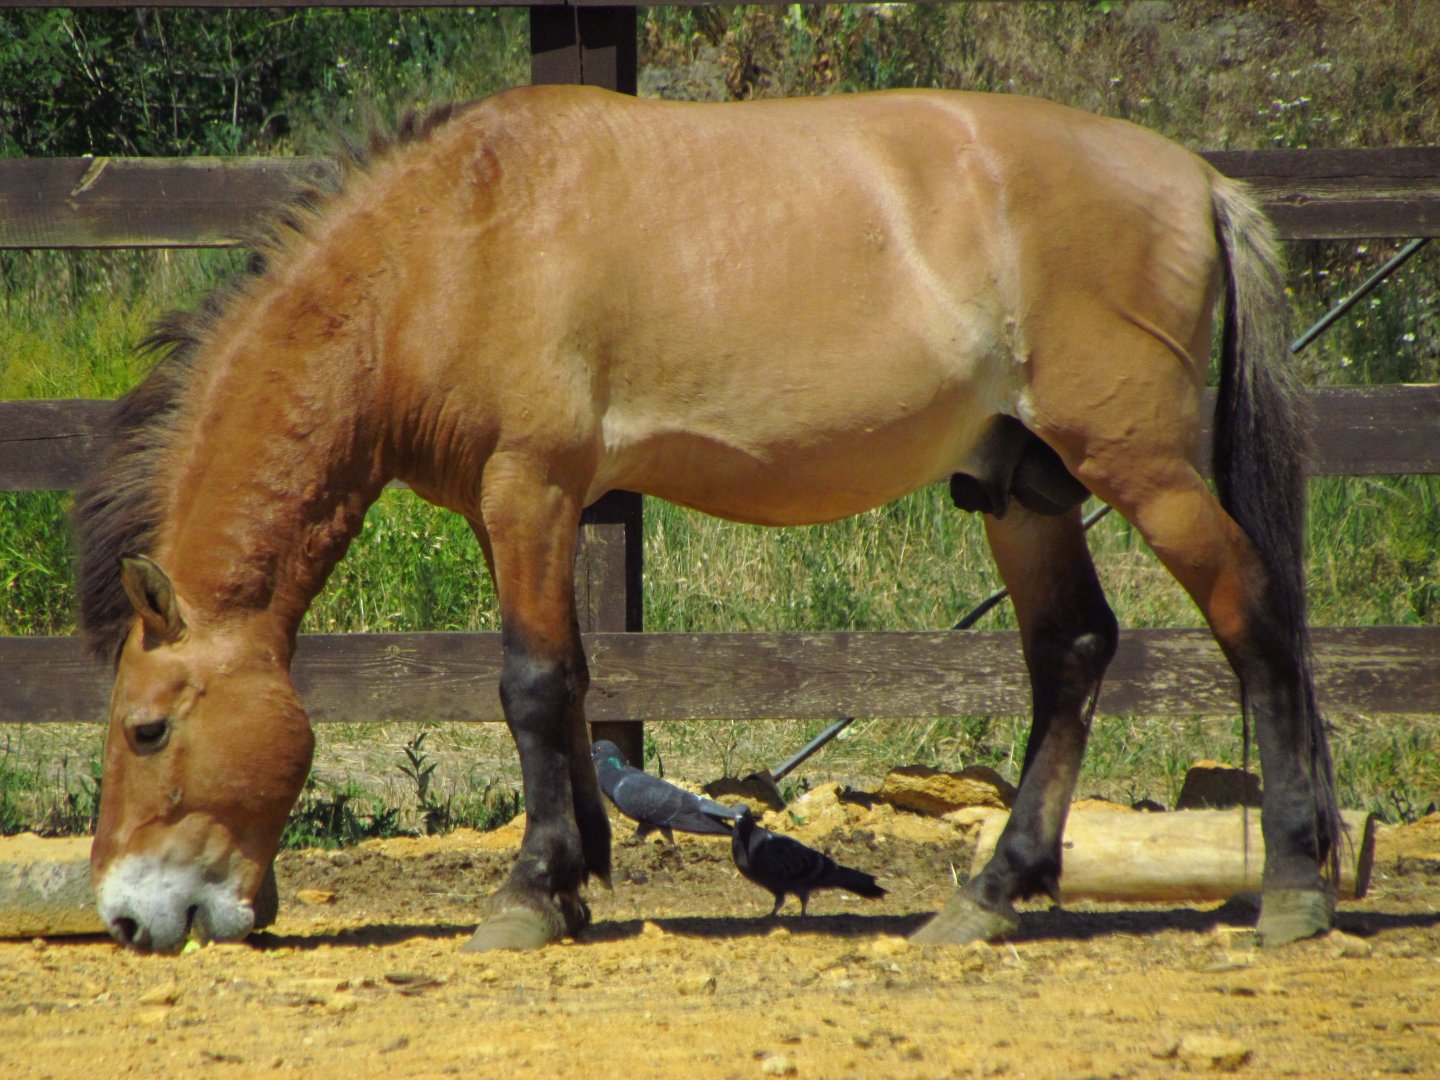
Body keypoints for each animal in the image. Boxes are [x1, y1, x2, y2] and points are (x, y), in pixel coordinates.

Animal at [74, 84, 1341, 954]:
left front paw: (528, 894)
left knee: (1255, 618)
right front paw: (575, 878)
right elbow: (571, 683)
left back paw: (1297, 886)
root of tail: (1197, 179)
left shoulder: (529, 485)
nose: (129, 917)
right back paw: (989, 897)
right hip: (1023, 490)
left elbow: (530, 685)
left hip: (1143, 467)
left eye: (147, 729)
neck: (449, 244)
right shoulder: (516, 507)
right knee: (1071, 650)